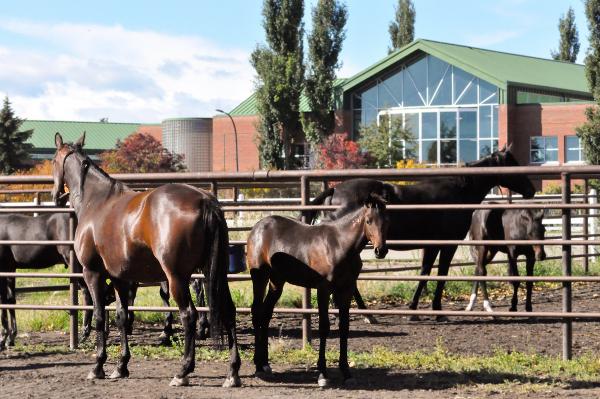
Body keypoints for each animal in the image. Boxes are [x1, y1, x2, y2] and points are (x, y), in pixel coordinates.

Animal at [0, 214, 99, 348]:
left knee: (88, 293)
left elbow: (3, 300)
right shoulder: (10, 269)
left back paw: (84, 333)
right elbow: (10, 300)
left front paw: (3, 338)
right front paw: (11, 338)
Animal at [50, 133, 240, 390]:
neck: (96, 202)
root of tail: (205, 201)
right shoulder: (120, 278)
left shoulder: (93, 274)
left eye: (53, 161)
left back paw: (183, 371)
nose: (55, 196)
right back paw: (232, 372)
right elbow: (121, 317)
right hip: (215, 273)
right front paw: (121, 366)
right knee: (228, 310)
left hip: (177, 277)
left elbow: (99, 316)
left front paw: (98, 366)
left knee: (188, 315)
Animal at [247, 194, 390, 388]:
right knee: (256, 313)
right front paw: (322, 373)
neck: (340, 245)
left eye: (387, 221)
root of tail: (257, 227)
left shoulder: (346, 290)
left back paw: (265, 364)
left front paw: (346, 372)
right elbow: (324, 328)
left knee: (266, 315)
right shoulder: (324, 290)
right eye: (368, 221)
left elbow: (344, 328)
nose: (380, 250)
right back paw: (257, 366)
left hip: (277, 282)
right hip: (260, 277)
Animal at [304, 145, 536, 320]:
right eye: (513, 164)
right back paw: (364, 314)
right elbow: (439, 274)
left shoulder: (432, 245)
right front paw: (435, 310)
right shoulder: (447, 244)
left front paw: (415, 309)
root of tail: (335, 190)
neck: (458, 190)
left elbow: (425, 272)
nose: (531, 189)